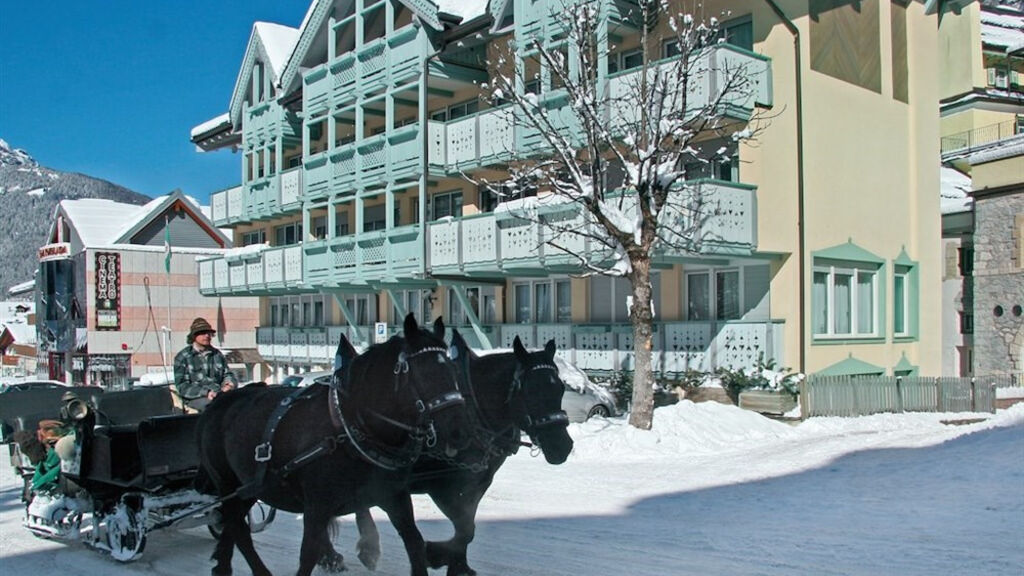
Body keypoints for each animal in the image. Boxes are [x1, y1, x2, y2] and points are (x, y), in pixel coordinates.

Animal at [194, 313, 471, 573]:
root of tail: (218, 404)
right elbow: (308, 555)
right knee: (238, 529)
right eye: (423, 373)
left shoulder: (394, 497)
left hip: (248, 488)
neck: (351, 429)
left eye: (453, 370)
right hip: (227, 484)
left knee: (233, 526)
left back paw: (222, 565)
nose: (460, 430)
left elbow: (414, 542)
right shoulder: (317, 507)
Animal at [352, 332, 577, 573]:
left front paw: (456, 562)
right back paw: (366, 548)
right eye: (532, 390)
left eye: (560, 388)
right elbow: (464, 528)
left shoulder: (477, 482)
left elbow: (467, 528)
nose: (562, 445)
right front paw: (437, 555)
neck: (474, 408)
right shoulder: (440, 485)